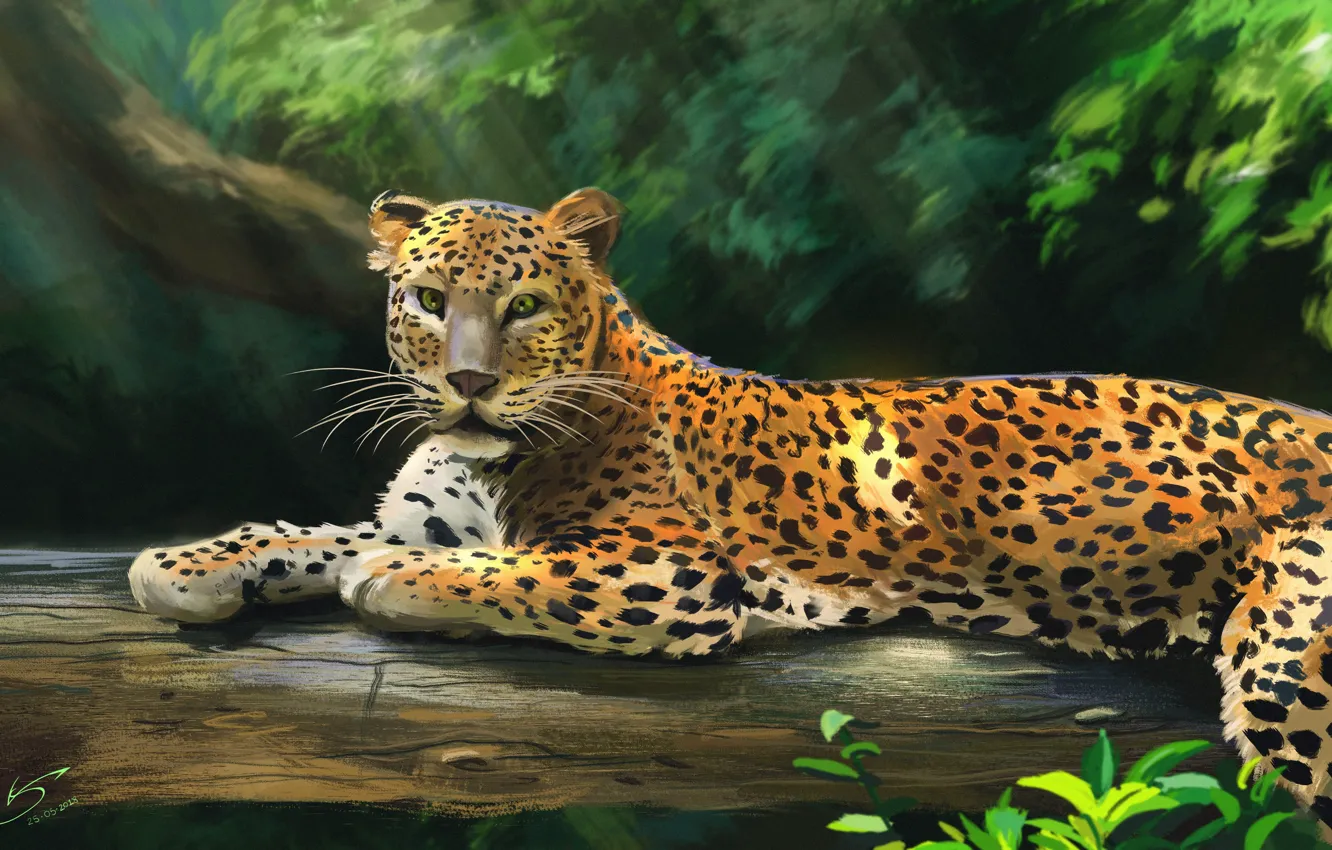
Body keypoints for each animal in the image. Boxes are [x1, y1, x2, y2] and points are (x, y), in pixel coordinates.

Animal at [130, 186, 1332, 828]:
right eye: (428, 300)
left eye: (523, 306)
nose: (468, 383)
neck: (490, 456)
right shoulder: (420, 512)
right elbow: (307, 533)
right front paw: (185, 564)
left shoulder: (661, 570)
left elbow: (505, 571)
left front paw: (389, 584)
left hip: (1293, 664)